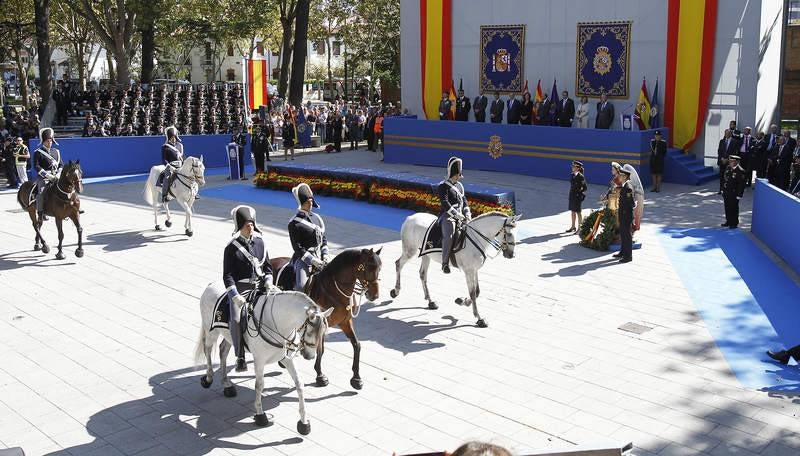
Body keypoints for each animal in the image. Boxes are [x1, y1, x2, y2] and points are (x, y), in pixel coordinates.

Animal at [195, 282, 332, 434]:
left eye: (323, 331)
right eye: (309, 331)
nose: (310, 356)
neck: (278, 323)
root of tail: (211, 284)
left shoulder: (287, 359)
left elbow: (299, 384)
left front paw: (303, 423)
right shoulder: (259, 360)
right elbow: (259, 385)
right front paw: (260, 415)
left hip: (229, 336)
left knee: (223, 351)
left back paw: (227, 385)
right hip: (211, 331)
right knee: (208, 349)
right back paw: (208, 378)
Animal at [272, 248, 382, 390]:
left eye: (379, 268)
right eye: (369, 267)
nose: (375, 295)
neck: (334, 290)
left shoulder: (346, 322)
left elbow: (356, 345)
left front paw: (356, 379)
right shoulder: (321, 325)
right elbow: (321, 349)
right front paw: (320, 376)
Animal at [392, 212, 520, 326]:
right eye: (509, 234)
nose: (511, 255)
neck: (476, 238)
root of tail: (411, 217)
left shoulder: (474, 269)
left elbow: (477, 291)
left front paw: (463, 301)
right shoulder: (469, 270)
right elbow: (473, 293)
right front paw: (479, 318)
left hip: (425, 254)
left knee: (422, 274)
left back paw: (430, 301)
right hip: (410, 250)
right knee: (398, 264)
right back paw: (395, 291)